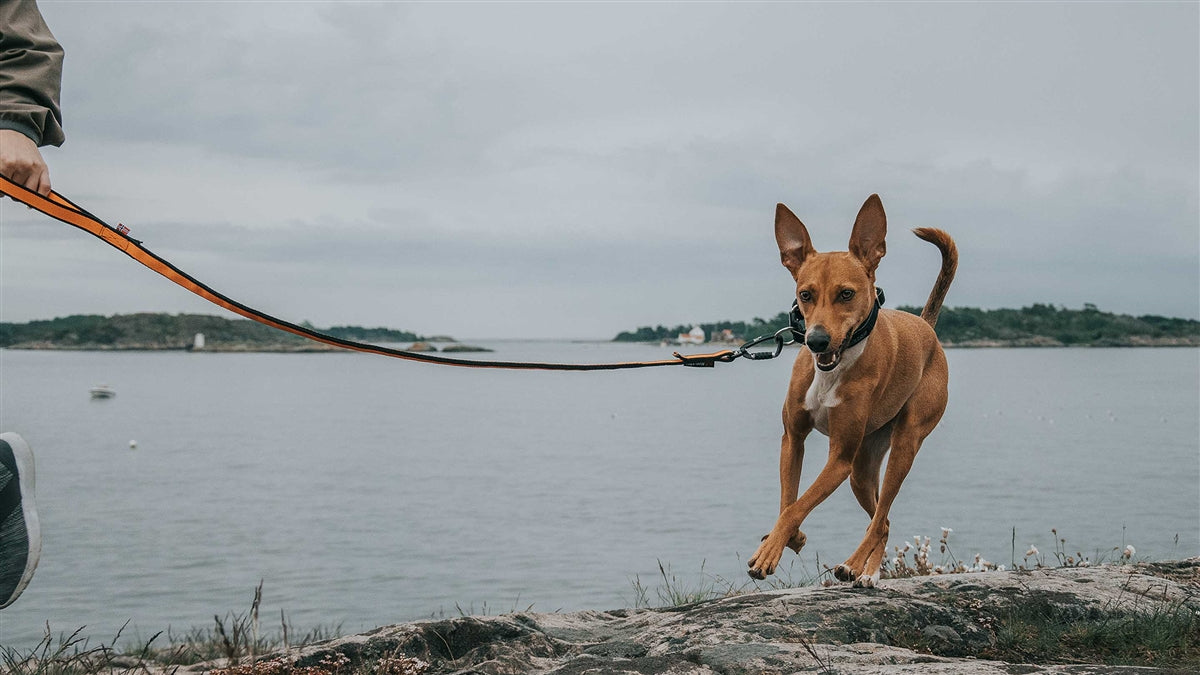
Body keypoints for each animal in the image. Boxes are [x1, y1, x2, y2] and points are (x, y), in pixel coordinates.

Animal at [744, 193, 960, 583]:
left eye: (846, 294)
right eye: (805, 294)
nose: (816, 341)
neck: (833, 369)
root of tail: (925, 326)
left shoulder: (839, 458)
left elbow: (797, 505)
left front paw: (768, 553)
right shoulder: (793, 439)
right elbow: (789, 503)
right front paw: (787, 538)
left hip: (904, 444)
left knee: (881, 515)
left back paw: (856, 565)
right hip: (862, 468)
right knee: (883, 520)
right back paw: (867, 572)